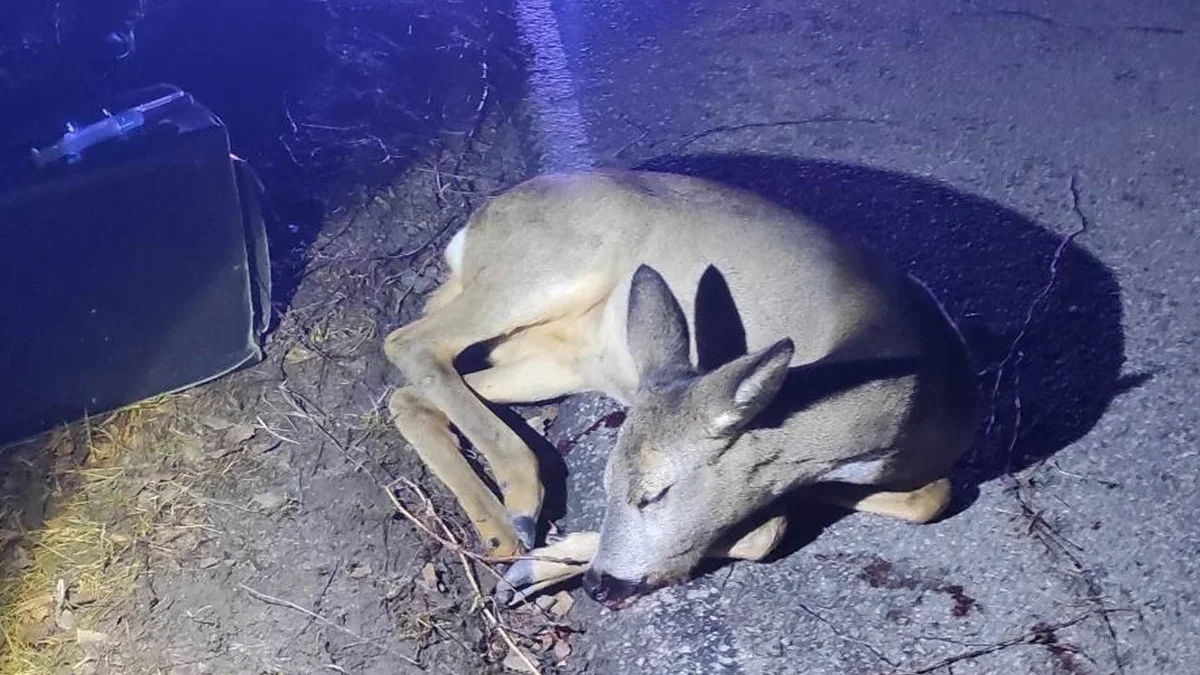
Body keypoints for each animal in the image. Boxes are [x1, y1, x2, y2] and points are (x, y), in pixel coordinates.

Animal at [384, 166, 974, 605]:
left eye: (655, 492)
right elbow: (770, 529)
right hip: (551, 267)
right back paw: (522, 505)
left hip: (557, 356)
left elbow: (934, 495)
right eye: (605, 482)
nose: (597, 587)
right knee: (408, 340)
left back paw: (501, 530)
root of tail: (470, 231)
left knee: (410, 392)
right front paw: (547, 567)